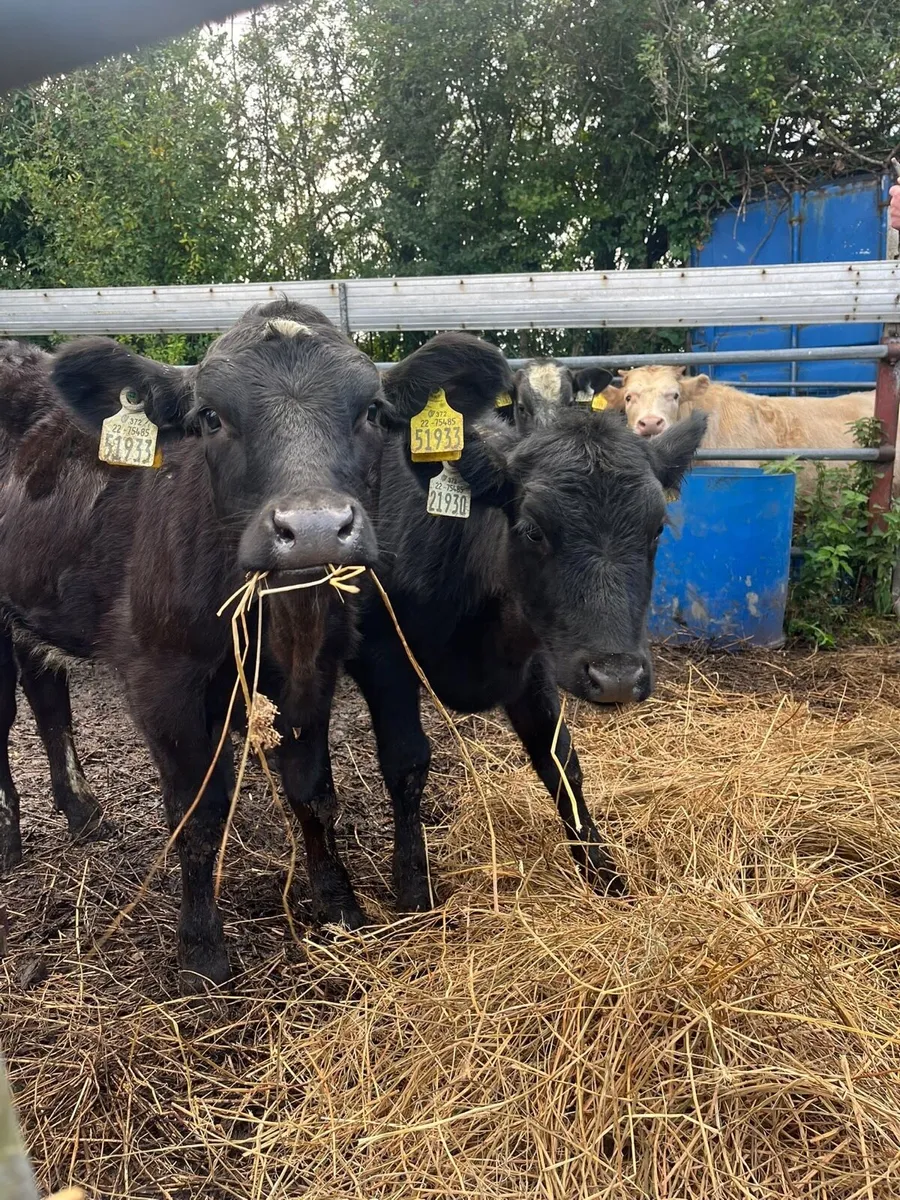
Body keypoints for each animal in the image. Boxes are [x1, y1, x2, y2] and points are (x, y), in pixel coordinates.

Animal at [0, 301, 386, 992]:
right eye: (210, 417)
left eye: (371, 409)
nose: (315, 528)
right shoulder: (163, 681)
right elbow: (198, 815)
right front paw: (202, 949)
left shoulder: (317, 669)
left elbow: (314, 791)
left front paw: (341, 905)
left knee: (47, 696)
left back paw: (81, 811)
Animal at [349, 341, 707, 909]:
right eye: (533, 529)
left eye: (656, 529)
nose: (617, 677)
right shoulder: (381, 653)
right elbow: (406, 763)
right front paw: (413, 892)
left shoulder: (539, 658)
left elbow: (559, 759)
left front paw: (604, 875)